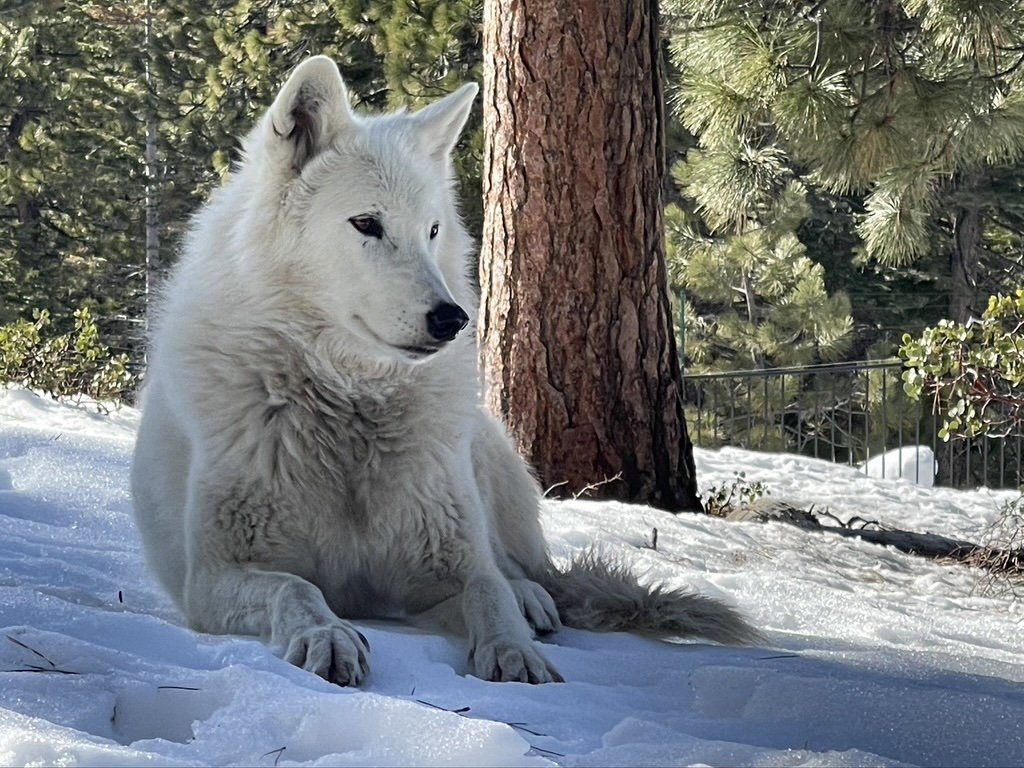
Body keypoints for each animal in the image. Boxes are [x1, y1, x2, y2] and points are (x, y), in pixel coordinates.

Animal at [130, 55, 757, 686]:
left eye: (432, 231)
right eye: (366, 224)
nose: (451, 319)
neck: (347, 410)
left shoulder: (446, 567)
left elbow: (488, 591)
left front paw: (516, 654)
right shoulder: (214, 579)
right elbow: (297, 589)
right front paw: (328, 636)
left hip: (487, 454)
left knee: (521, 571)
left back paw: (534, 598)